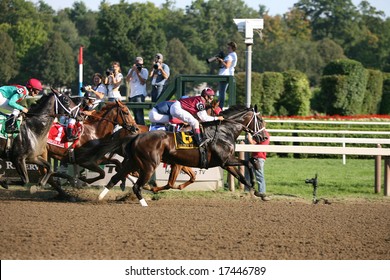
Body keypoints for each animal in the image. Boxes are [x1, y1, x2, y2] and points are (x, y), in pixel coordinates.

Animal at [99, 105, 266, 206]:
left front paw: (259, 192)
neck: (224, 131)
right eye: (260, 119)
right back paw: (144, 202)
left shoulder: (225, 163)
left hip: (133, 161)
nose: (264, 137)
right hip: (148, 165)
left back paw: (100, 197)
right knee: (135, 185)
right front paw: (255, 187)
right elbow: (249, 163)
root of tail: (136, 136)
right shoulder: (226, 160)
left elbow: (242, 176)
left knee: (117, 176)